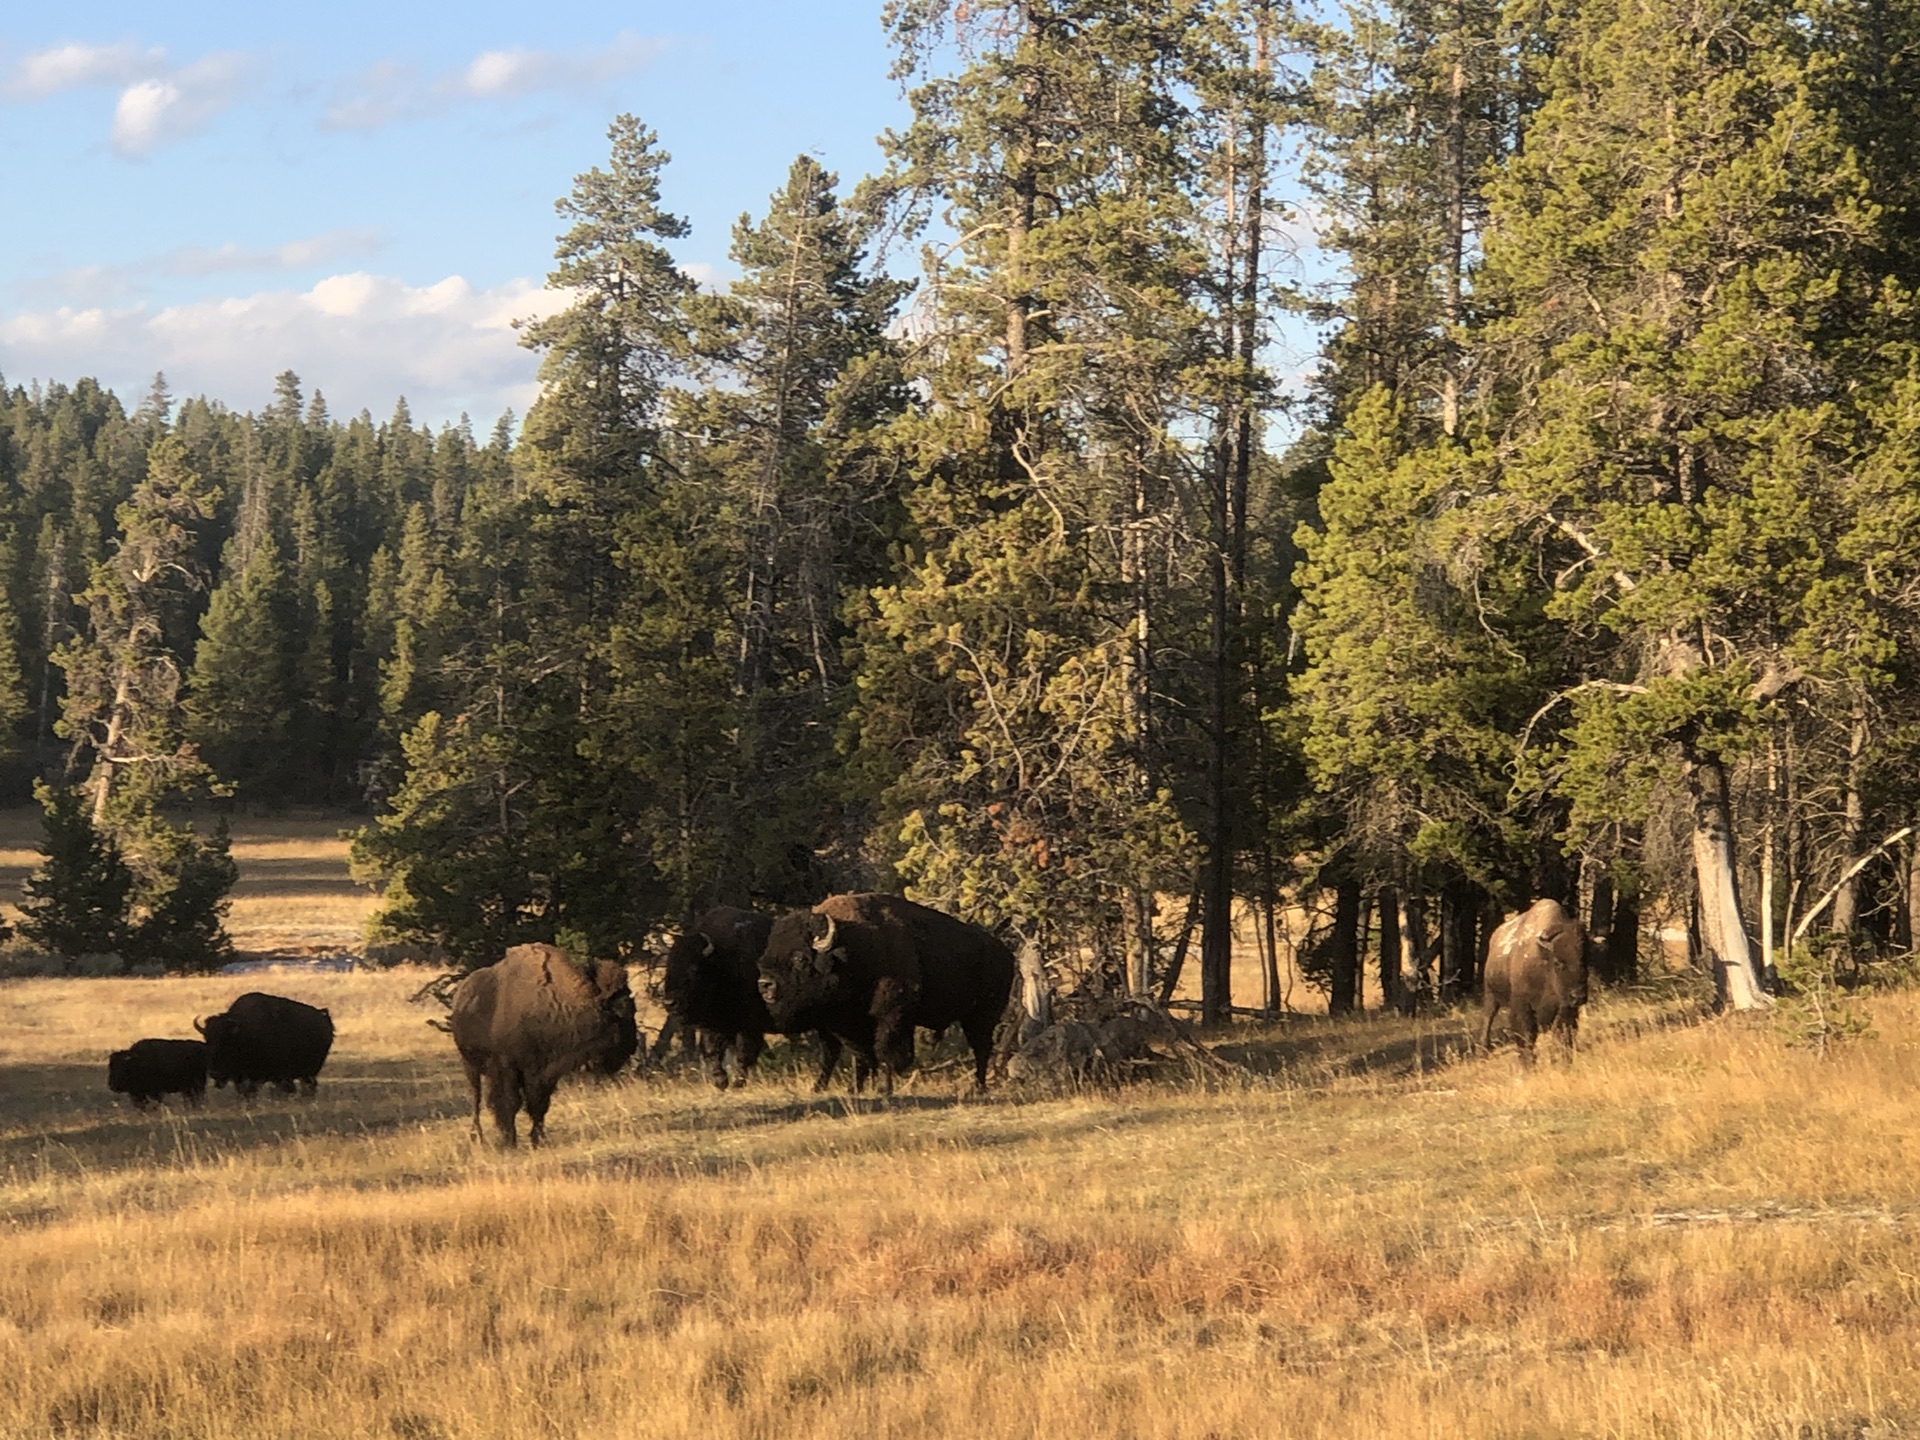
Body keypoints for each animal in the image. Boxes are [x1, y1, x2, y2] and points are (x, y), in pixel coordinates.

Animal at [194, 998, 334, 1098]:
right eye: (207, 1040)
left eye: (226, 1042)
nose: (214, 1073)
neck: (244, 1032)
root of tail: (323, 1016)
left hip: (310, 1071)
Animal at [447, 948, 637, 1152]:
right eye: (622, 1011)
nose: (632, 1046)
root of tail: (461, 994)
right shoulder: (508, 1068)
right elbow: (510, 1103)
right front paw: (509, 1142)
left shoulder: (544, 1073)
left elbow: (539, 1106)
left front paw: (537, 1140)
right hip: (469, 1065)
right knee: (476, 1099)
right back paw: (476, 1136)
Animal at [664, 906, 852, 1098]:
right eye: (669, 967)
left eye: (693, 969)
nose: (670, 1002)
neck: (721, 961)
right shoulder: (714, 1026)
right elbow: (711, 1051)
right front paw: (720, 1081)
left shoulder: (748, 1027)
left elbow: (744, 1054)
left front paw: (736, 1084)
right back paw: (819, 1086)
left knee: (832, 1051)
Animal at [752, 890, 1021, 1105]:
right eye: (766, 955)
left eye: (800, 958)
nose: (765, 985)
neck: (852, 951)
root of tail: (1006, 953)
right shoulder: (846, 1026)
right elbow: (857, 1056)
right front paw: (852, 1089)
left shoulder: (890, 1016)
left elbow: (883, 1051)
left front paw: (883, 1089)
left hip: (981, 1018)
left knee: (982, 1049)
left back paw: (977, 1088)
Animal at [1482, 902, 1589, 1075]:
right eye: (1558, 962)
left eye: (1585, 960)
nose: (1578, 996)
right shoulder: (1522, 1006)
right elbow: (1526, 1035)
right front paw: (1528, 1066)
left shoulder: (1565, 1009)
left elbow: (1563, 1035)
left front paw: (1562, 1064)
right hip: (1490, 993)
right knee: (1488, 1017)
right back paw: (1483, 1050)